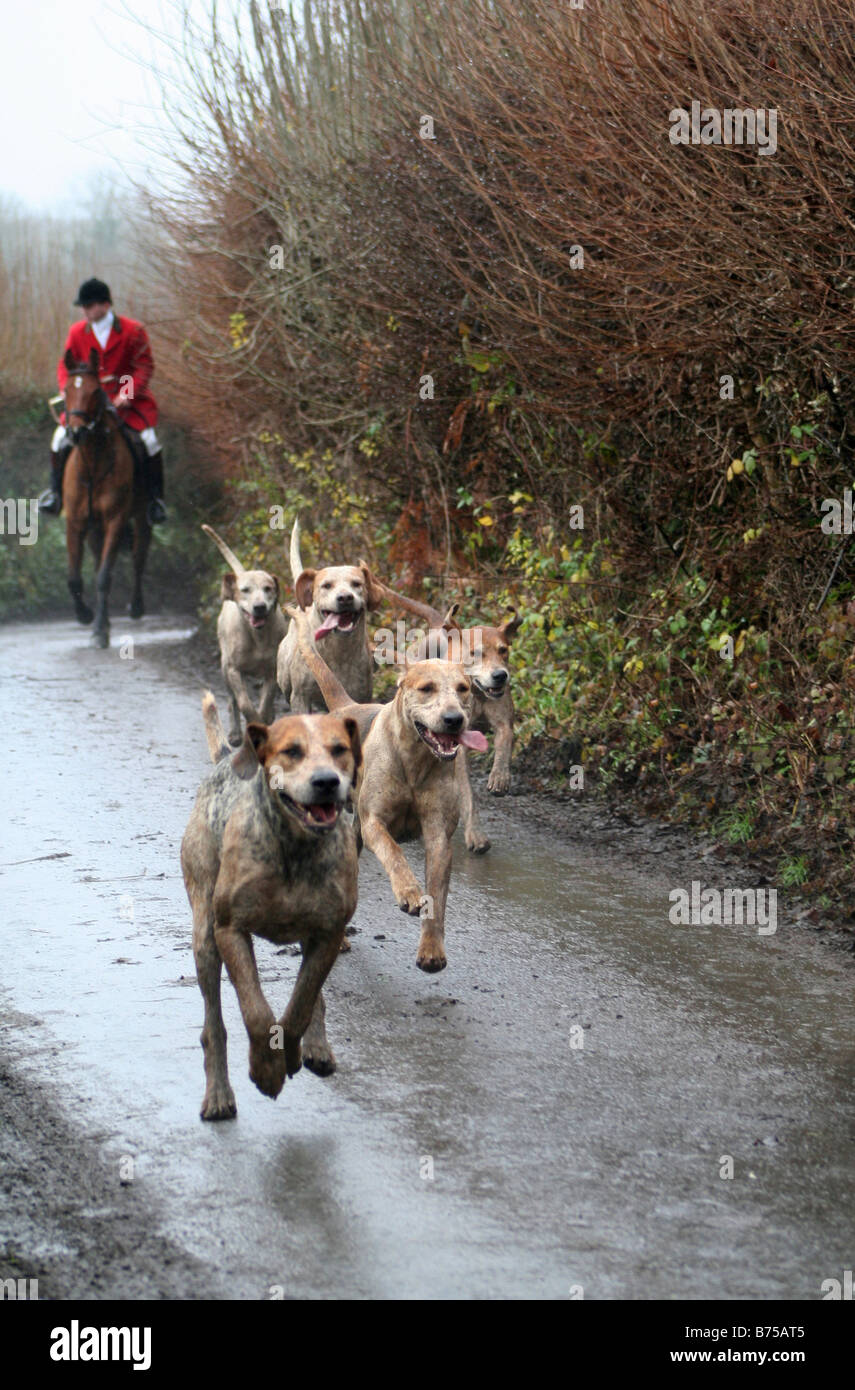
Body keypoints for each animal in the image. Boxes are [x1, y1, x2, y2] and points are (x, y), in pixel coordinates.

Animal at [61, 347, 152, 650]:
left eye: (94, 391)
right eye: (66, 390)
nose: (76, 432)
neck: (92, 464)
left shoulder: (116, 520)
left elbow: (103, 577)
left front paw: (100, 630)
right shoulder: (75, 523)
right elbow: (74, 577)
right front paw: (85, 615)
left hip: (141, 518)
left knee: (137, 557)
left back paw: (135, 607)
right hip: (93, 528)